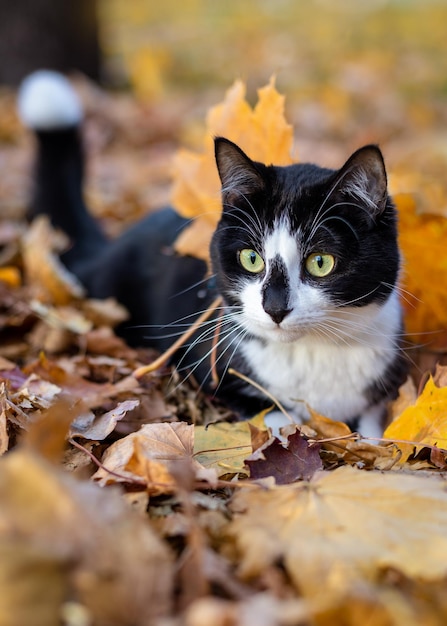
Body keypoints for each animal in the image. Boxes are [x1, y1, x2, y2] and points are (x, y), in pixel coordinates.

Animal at [18, 70, 410, 436]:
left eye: (320, 262)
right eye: (251, 258)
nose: (275, 308)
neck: (312, 355)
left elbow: (374, 429)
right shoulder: (213, 365)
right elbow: (271, 414)